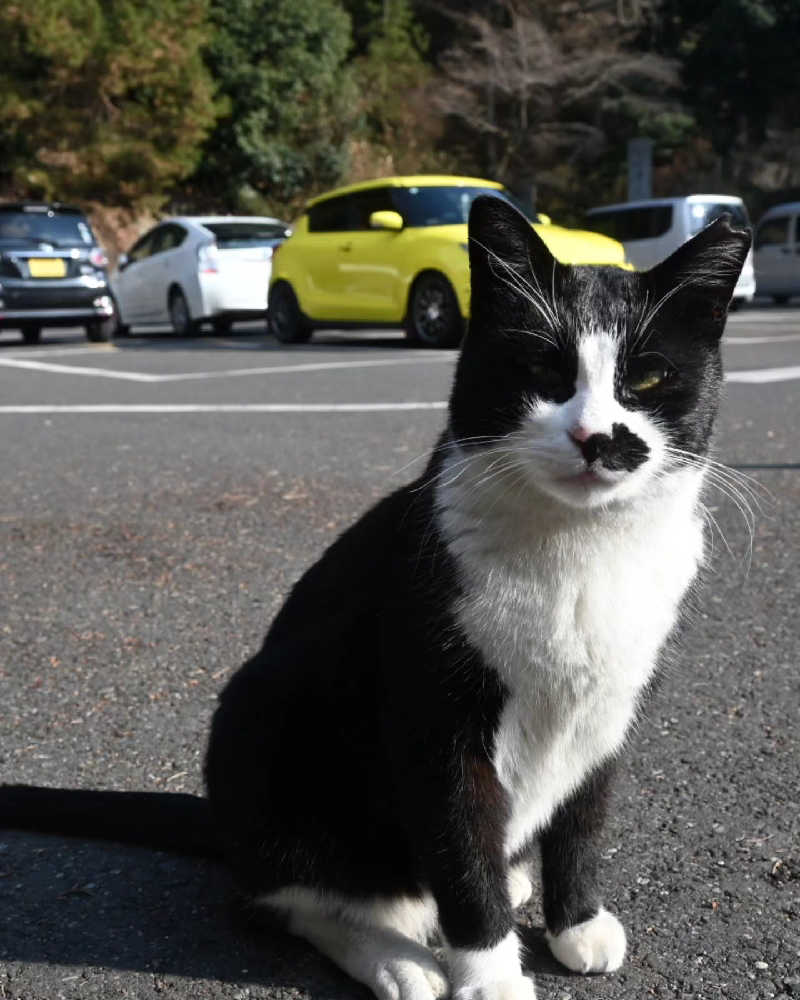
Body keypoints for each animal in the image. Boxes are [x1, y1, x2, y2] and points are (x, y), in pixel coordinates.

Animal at [0, 195, 752, 1000]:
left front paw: (575, 922)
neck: (583, 550)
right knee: (285, 897)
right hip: (259, 714)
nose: (595, 436)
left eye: (649, 379)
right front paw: (492, 975)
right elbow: (462, 858)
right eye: (541, 368)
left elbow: (582, 822)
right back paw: (399, 959)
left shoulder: (610, 710)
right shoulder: (433, 721)